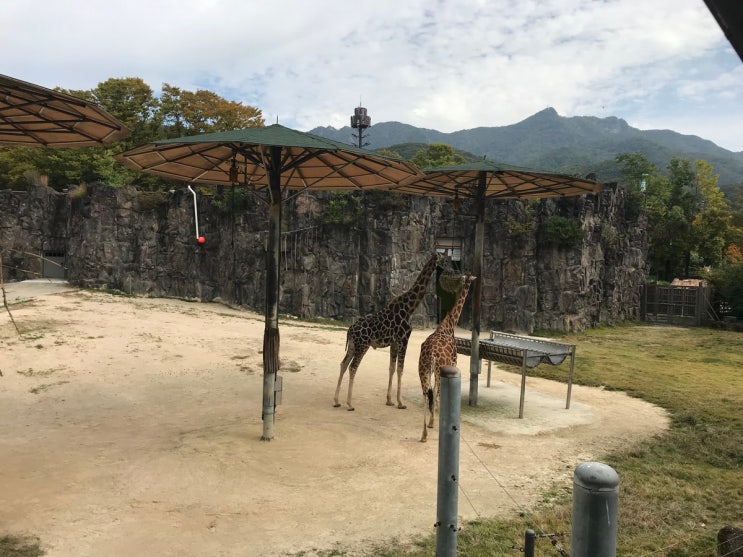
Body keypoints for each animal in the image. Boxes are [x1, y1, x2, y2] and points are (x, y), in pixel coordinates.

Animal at [334, 253, 444, 412]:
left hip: (353, 346)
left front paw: (390, 400)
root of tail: (350, 330)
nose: (448, 266)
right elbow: (400, 369)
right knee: (353, 367)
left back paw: (337, 400)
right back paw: (349, 404)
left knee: (343, 364)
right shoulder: (404, 339)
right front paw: (400, 402)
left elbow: (391, 368)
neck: (409, 307)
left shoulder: (394, 343)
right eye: (443, 258)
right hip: (362, 346)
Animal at [418, 272, 476, 440]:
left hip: (423, 370)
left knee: (426, 393)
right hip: (438, 369)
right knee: (435, 390)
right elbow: (439, 392)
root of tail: (431, 353)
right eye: (471, 279)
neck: (449, 324)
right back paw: (432, 423)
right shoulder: (454, 362)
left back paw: (424, 434)